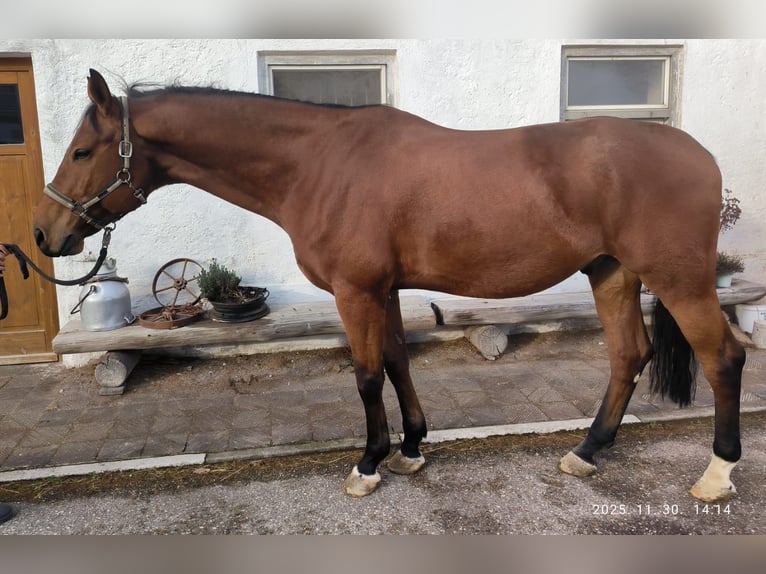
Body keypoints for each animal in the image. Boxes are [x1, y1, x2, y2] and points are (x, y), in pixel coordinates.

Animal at [33, 69, 744, 501]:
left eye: (81, 151)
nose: (44, 234)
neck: (319, 164)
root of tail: (701, 156)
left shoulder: (355, 291)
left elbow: (367, 373)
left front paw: (369, 463)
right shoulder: (387, 290)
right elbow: (400, 361)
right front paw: (411, 448)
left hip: (677, 279)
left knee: (723, 357)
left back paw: (717, 472)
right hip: (611, 272)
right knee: (628, 355)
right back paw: (588, 452)